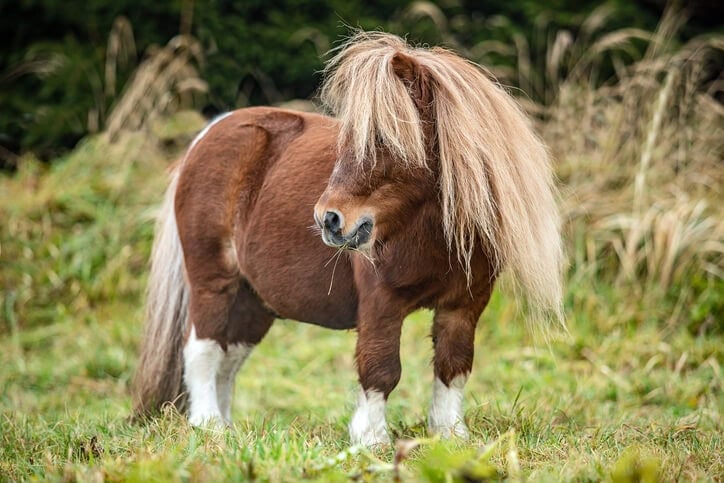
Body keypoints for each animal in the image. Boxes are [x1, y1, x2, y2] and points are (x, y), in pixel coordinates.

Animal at [132, 31, 563, 446]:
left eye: (386, 139)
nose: (329, 220)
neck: (428, 230)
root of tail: (207, 136)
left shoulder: (464, 305)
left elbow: (453, 365)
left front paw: (449, 434)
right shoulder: (380, 302)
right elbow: (381, 367)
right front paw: (371, 439)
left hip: (253, 298)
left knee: (229, 356)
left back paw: (226, 428)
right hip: (213, 280)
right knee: (203, 350)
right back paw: (208, 427)